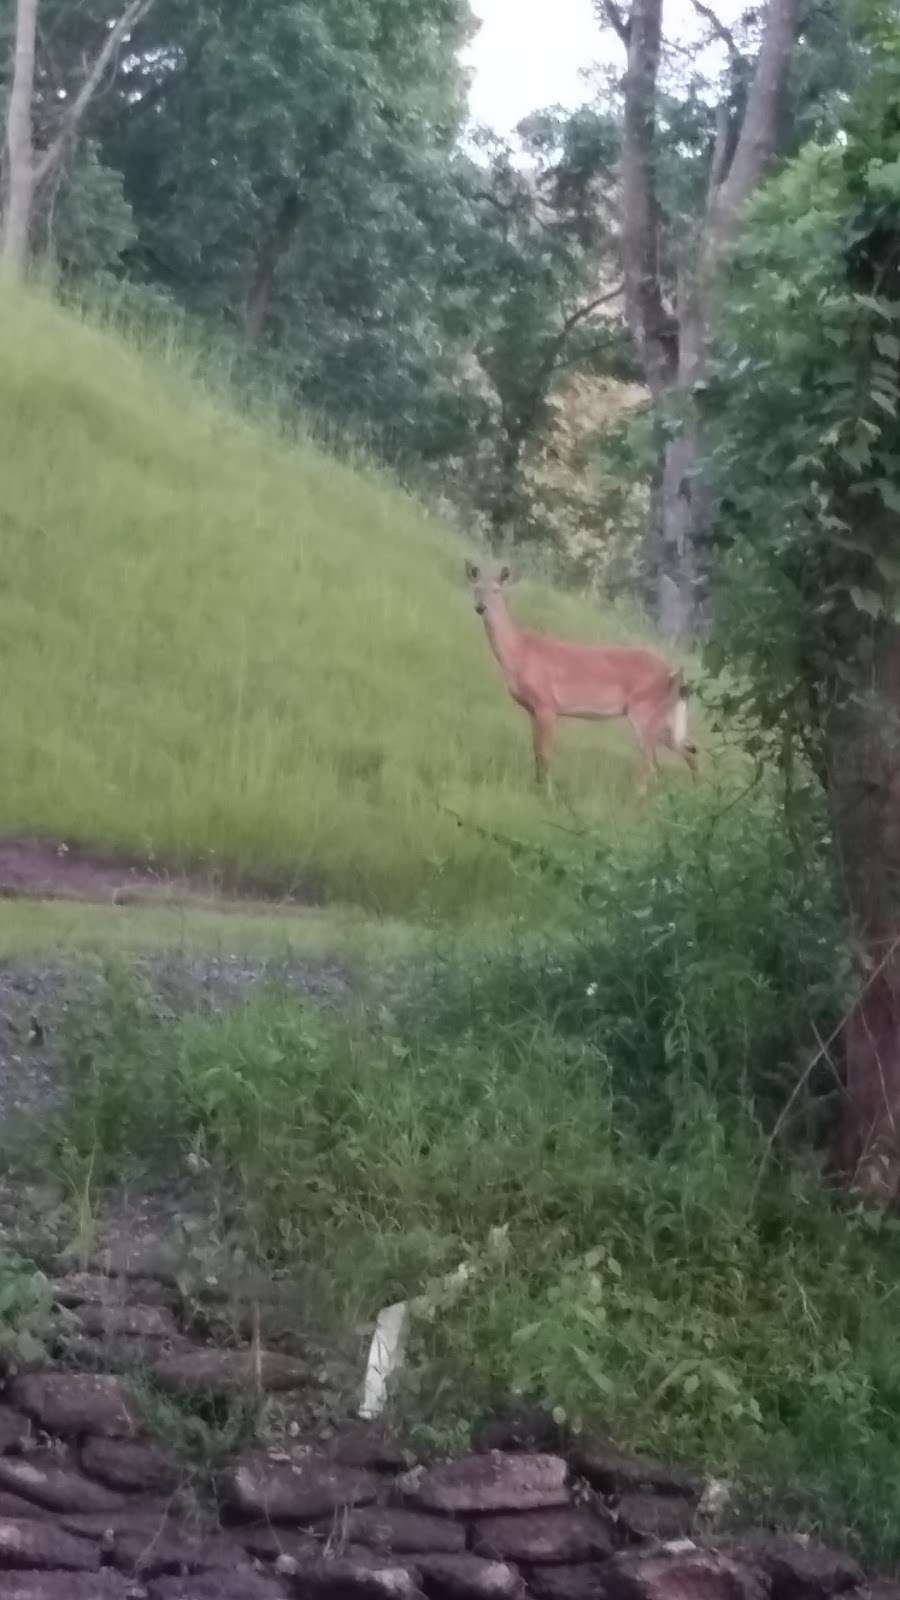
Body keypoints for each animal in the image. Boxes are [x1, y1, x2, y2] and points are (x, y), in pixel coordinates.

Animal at [464, 563, 698, 793]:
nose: (480, 608)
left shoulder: (547, 704)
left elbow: (545, 754)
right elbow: (536, 751)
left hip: (644, 710)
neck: (520, 653)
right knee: (687, 750)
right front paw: (537, 785)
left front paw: (548, 793)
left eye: (496, 590)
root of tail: (671, 673)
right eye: (476, 588)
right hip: (661, 717)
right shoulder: (532, 709)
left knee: (651, 764)